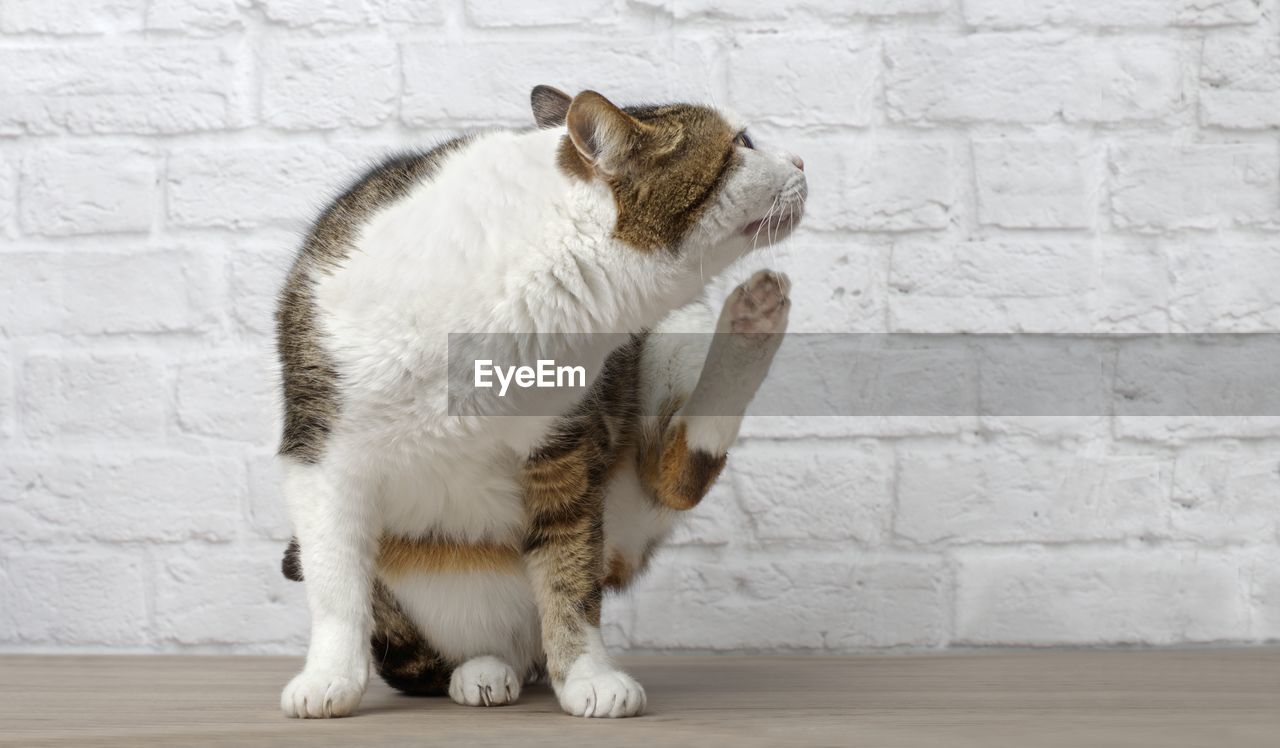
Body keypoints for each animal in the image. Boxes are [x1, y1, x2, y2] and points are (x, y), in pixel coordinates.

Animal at [275, 83, 803, 717]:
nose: (802, 161)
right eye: (743, 142)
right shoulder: (320, 451)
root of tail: (521, 651)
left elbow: (569, 571)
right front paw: (328, 678)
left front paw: (586, 675)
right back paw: (480, 670)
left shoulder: (565, 443)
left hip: (670, 346)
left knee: (673, 475)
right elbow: (333, 581)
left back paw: (754, 319)